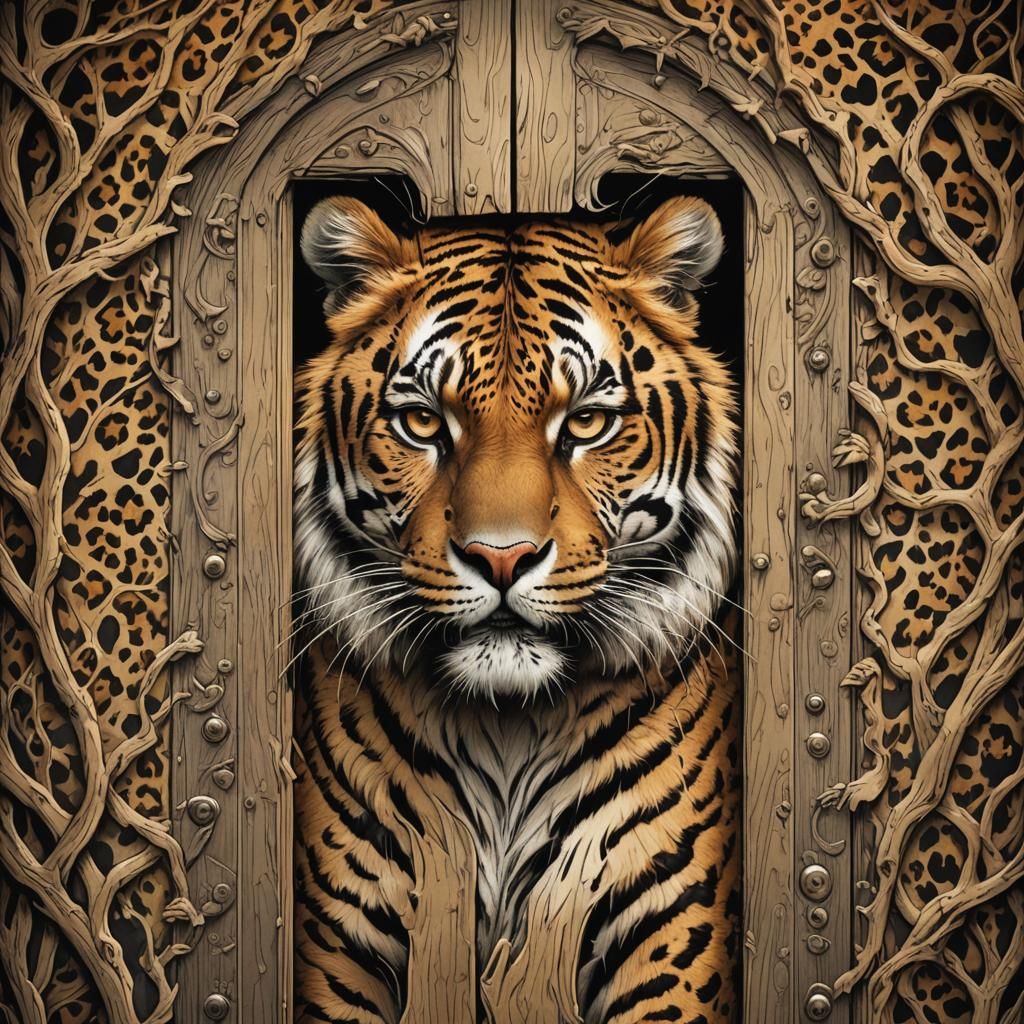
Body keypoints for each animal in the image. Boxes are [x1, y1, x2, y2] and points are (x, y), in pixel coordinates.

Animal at [292, 194, 741, 1024]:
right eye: (424, 423)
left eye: (587, 423)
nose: (502, 558)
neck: (506, 730)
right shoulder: (341, 947)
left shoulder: (664, 933)